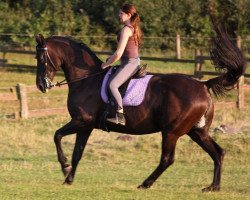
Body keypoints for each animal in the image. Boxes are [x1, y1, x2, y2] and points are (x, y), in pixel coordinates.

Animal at [34, 23, 246, 191]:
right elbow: (77, 153)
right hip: (197, 131)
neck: (86, 79)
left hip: (172, 132)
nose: (41, 85)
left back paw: (145, 183)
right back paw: (213, 187)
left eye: (40, 58)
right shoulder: (85, 126)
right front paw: (69, 178)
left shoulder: (81, 121)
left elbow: (57, 136)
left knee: (167, 159)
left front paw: (64, 167)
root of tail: (202, 85)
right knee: (218, 153)